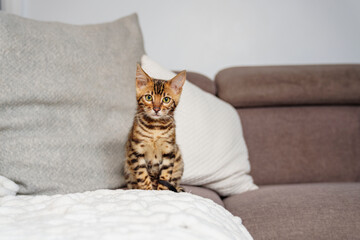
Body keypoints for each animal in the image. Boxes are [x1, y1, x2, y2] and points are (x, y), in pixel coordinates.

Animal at [124, 63, 186, 191]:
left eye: (166, 99)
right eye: (148, 97)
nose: (156, 109)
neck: (155, 128)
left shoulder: (169, 150)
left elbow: (165, 175)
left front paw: (161, 192)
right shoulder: (136, 150)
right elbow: (142, 175)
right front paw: (148, 191)